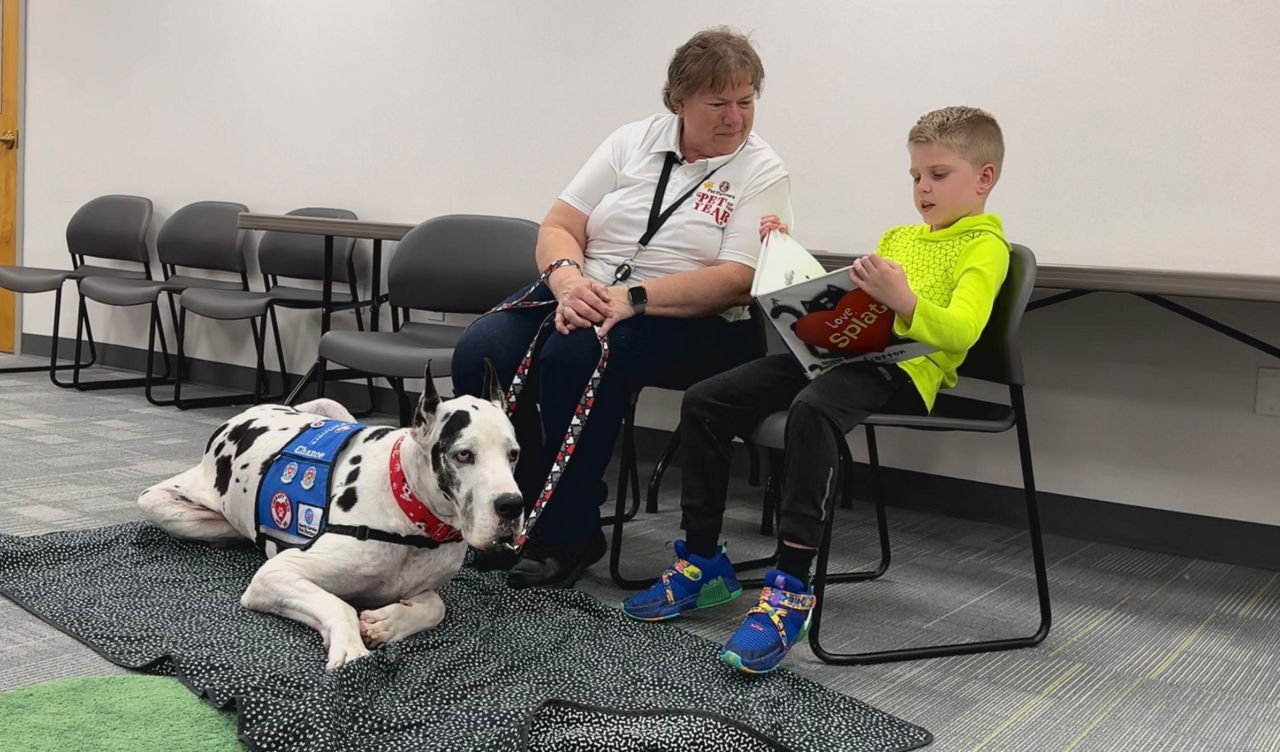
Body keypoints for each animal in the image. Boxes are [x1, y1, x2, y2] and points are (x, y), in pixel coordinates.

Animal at [137, 363, 522, 670]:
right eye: (463, 454)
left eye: (514, 454)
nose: (512, 505)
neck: (409, 517)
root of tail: (241, 415)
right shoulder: (275, 576)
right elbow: (339, 606)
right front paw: (351, 648)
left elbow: (435, 606)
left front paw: (387, 622)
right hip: (159, 503)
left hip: (332, 407)